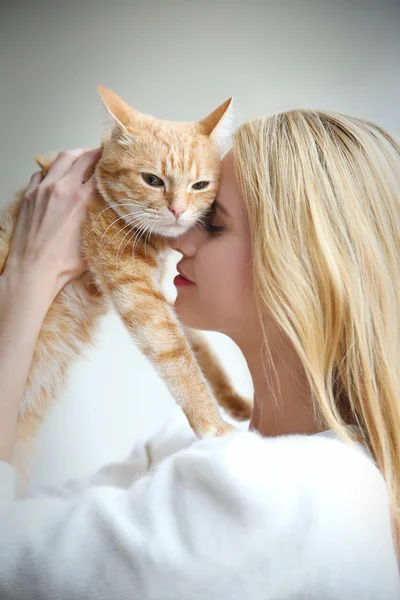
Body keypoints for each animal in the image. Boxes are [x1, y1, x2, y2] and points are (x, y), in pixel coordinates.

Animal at [0, 89, 250, 492]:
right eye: (152, 180)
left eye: (199, 185)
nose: (178, 211)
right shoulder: (137, 289)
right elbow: (176, 355)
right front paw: (212, 423)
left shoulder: (165, 294)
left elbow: (200, 350)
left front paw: (236, 402)